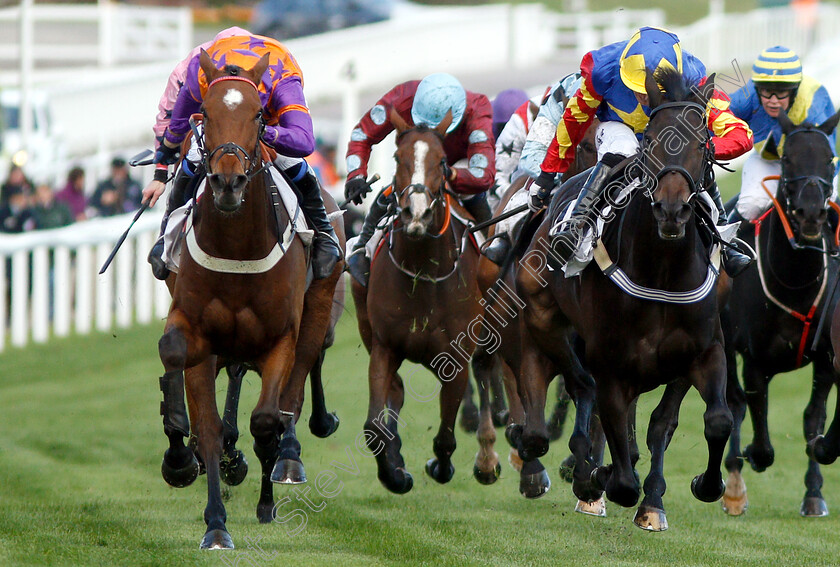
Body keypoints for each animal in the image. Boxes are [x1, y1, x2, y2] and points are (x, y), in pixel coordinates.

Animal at [156, 51, 342, 548]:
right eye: (205, 112)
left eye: (259, 114)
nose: (227, 182)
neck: (238, 245)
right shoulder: (197, 332)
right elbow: (201, 415)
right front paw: (212, 518)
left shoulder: (279, 339)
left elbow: (266, 420)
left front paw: (263, 492)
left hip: (318, 309)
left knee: (296, 389)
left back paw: (287, 461)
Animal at [352, 108, 496, 490]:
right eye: (397, 158)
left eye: (442, 161)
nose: (416, 214)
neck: (423, 274)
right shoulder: (384, 347)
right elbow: (373, 425)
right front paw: (394, 474)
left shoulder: (456, 361)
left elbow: (445, 436)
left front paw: (439, 467)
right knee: (397, 391)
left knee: (487, 373)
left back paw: (488, 459)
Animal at [516, 69, 732, 532]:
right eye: (650, 142)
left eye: (702, 143)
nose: (671, 210)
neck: (663, 272)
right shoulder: (613, 365)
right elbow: (620, 477)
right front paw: (597, 477)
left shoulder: (705, 350)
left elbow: (711, 420)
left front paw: (701, 486)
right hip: (543, 314)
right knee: (581, 382)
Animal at [720, 107, 840, 520]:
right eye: (787, 160)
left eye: (830, 159)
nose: (810, 214)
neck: (794, 283)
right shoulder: (755, 359)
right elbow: (760, 436)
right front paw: (749, 459)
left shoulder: (826, 359)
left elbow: (812, 420)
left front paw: (814, 494)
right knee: (734, 402)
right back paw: (734, 485)